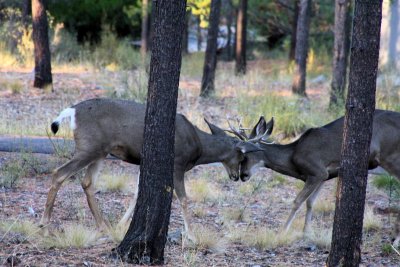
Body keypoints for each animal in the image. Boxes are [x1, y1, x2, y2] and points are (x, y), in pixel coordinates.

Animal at [41, 99, 247, 243]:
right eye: (241, 156)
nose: (237, 177)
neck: (198, 146)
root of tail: (72, 111)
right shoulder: (177, 163)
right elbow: (184, 199)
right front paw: (192, 236)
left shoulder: (143, 161)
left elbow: (137, 193)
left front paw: (121, 225)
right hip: (89, 147)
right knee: (59, 173)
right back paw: (45, 222)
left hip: (100, 151)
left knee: (87, 182)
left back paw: (103, 225)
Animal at [231, 111, 400, 245]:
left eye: (245, 155)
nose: (242, 176)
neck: (293, 157)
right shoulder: (324, 176)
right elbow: (310, 203)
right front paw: (306, 232)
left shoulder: (317, 171)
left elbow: (297, 201)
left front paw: (282, 231)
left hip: (391, 158)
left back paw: (395, 240)